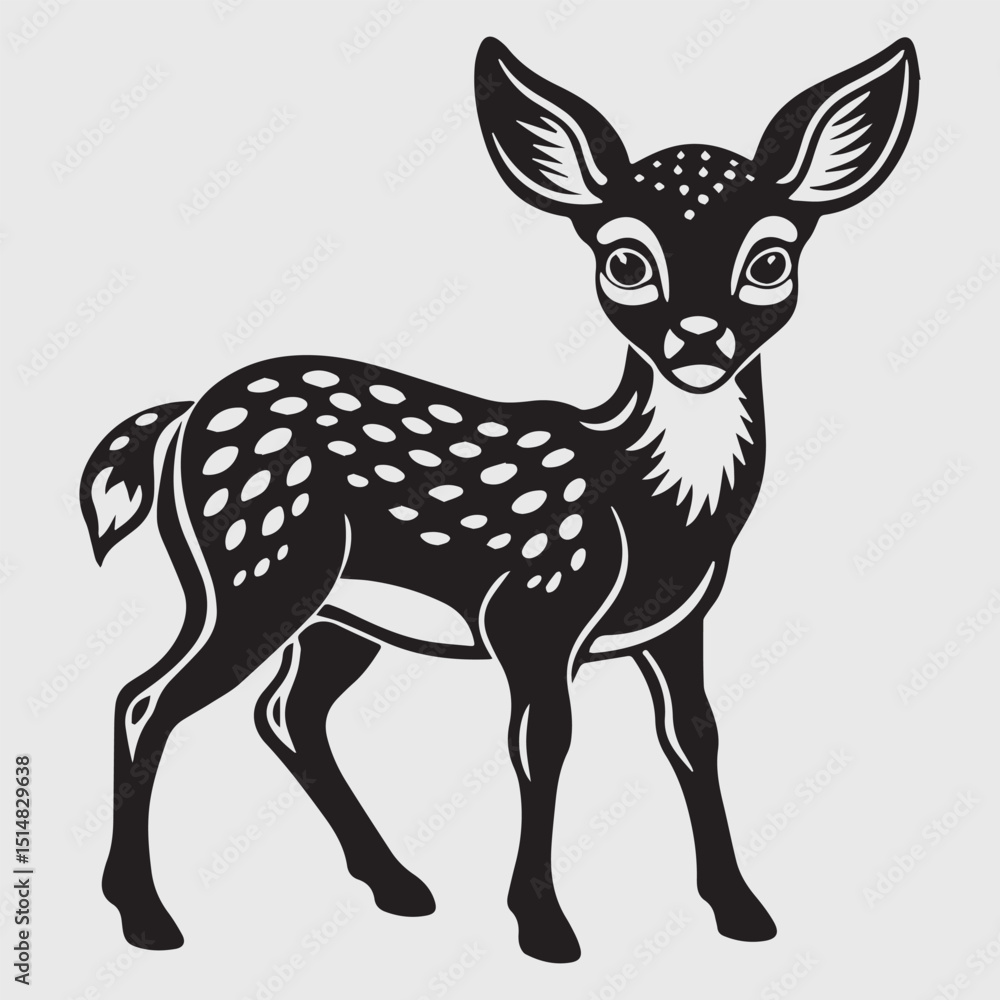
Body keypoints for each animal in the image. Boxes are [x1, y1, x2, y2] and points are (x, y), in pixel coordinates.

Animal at [81, 36, 918, 963]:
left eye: (770, 260)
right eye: (626, 260)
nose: (698, 342)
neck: (655, 504)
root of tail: (182, 416)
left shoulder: (679, 623)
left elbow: (695, 735)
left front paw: (741, 911)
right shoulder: (535, 608)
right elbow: (543, 743)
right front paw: (545, 927)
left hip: (337, 610)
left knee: (285, 713)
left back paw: (398, 887)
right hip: (257, 567)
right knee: (146, 700)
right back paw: (146, 917)